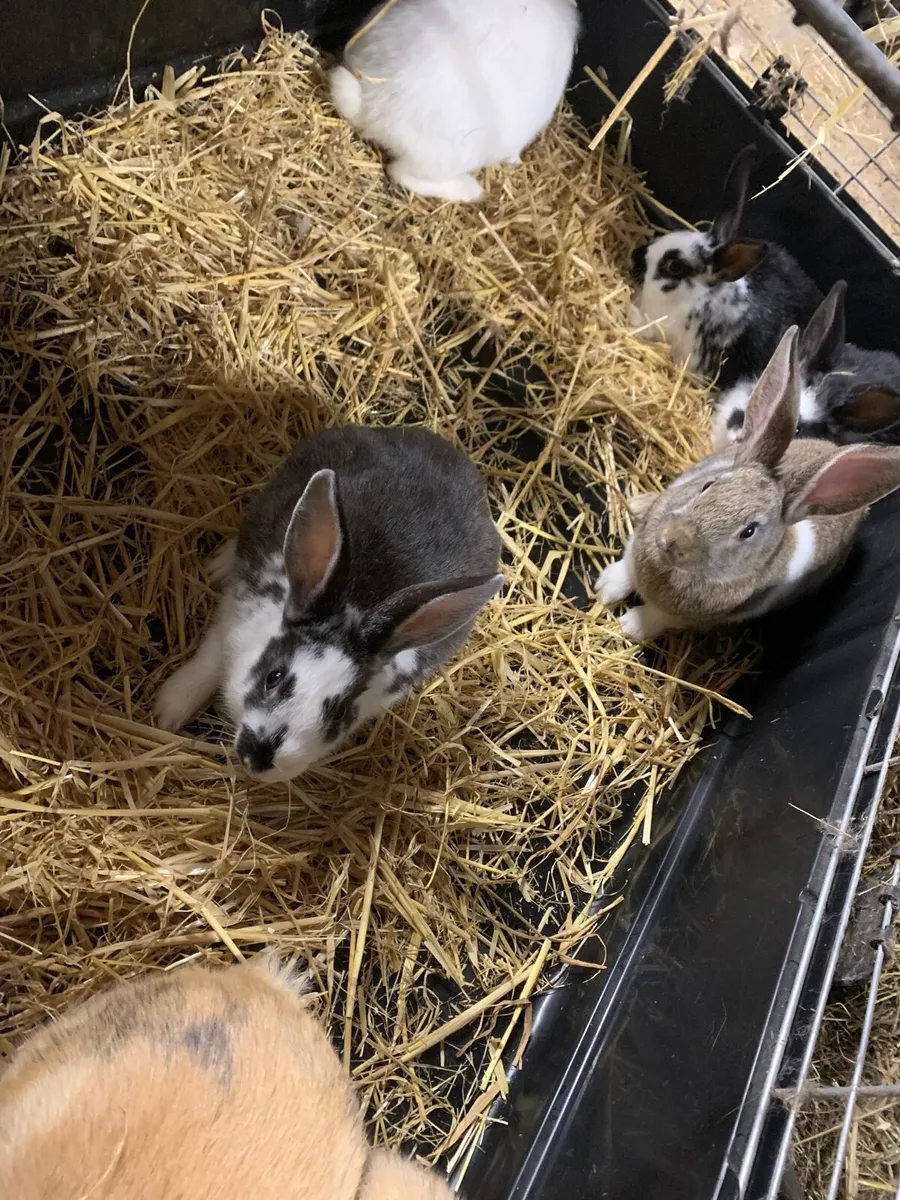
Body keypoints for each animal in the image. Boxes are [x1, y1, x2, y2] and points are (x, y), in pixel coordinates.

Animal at [153, 425, 503, 781]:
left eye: (338, 713)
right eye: (273, 677)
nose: (259, 760)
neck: (355, 608)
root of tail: (446, 448)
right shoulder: (232, 613)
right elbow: (209, 661)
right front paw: (167, 709)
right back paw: (219, 564)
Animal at [594, 326, 900, 642]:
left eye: (748, 531)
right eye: (708, 486)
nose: (673, 539)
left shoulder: (687, 618)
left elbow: (655, 617)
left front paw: (627, 626)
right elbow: (626, 566)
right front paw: (605, 588)